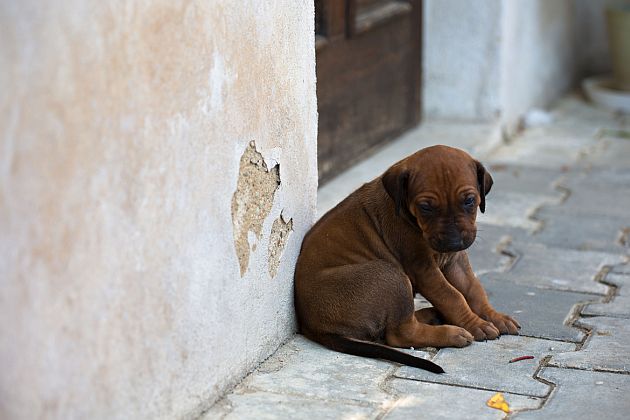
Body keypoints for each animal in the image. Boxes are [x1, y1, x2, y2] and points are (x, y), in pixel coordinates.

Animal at [296, 146, 524, 372]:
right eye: (426, 207)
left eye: (469, 201)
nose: (453, 241)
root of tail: (314, 327)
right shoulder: (423, 269)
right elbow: (452, 296)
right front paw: (475, 324)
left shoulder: (455, 260)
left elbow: (473, 289)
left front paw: (493, 316)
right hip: (390, 276)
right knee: (400, 333)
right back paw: (449, 332)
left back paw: (432, 315)